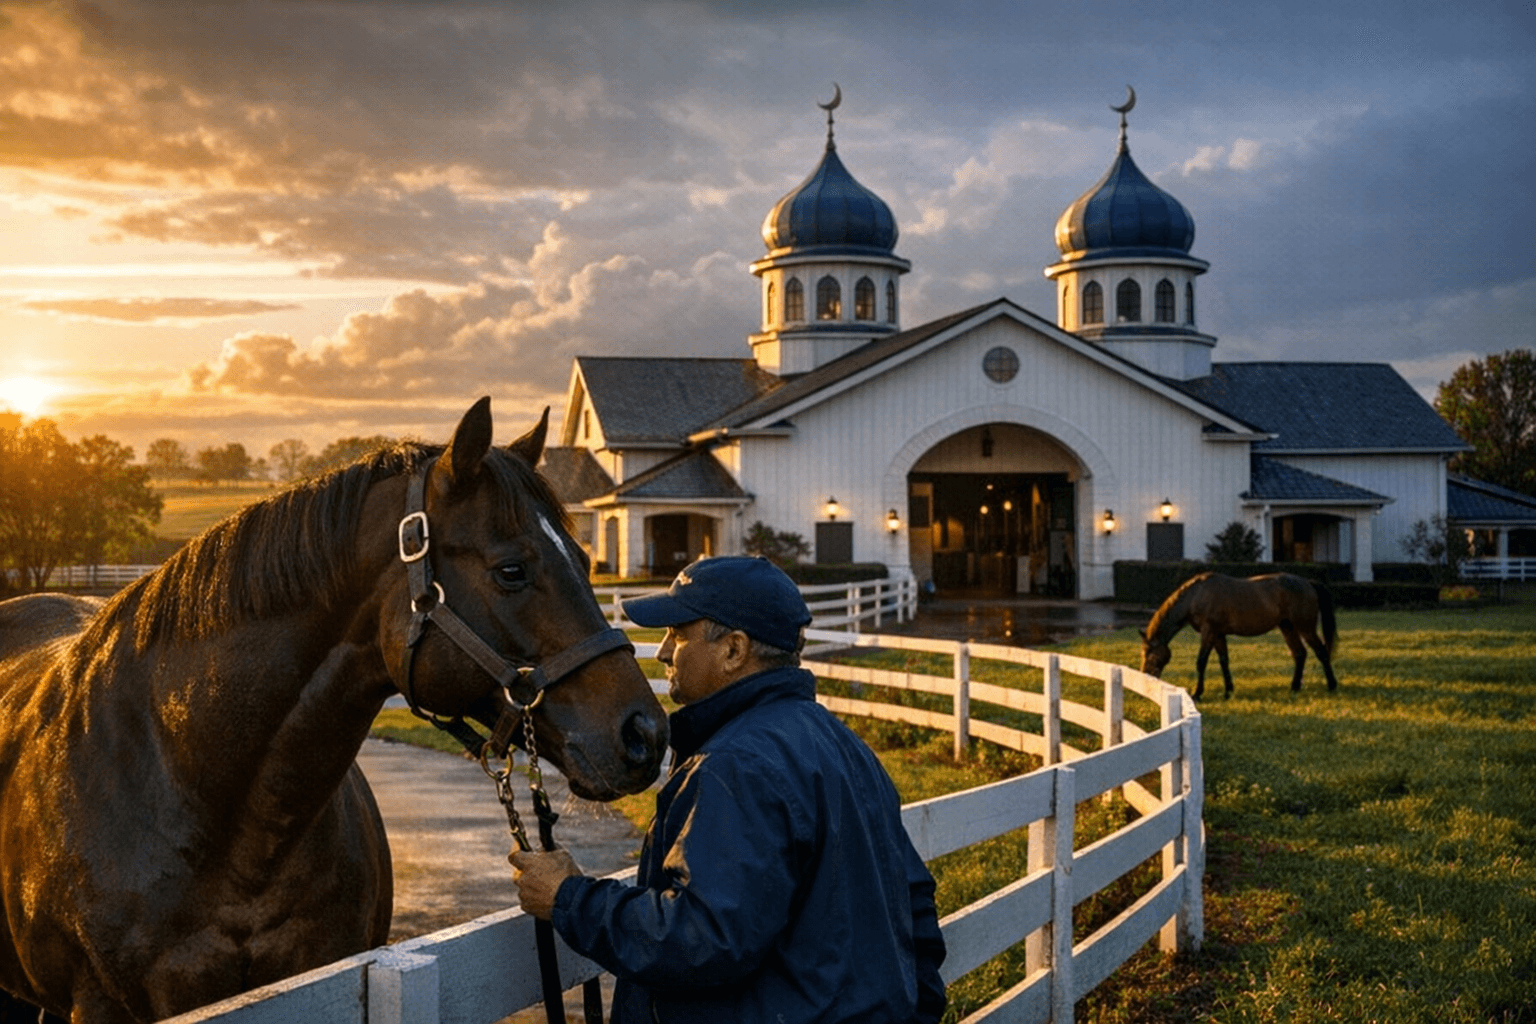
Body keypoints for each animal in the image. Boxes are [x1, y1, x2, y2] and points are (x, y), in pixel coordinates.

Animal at [1138, 572, 1339, 700]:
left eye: (1151, 655)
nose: (1144, 678)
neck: (1196, 596)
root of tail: (1307, 583)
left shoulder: (1209, 632)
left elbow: (1201, 661)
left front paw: (1197, 693)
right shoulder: (1218, 634)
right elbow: (1224, 661)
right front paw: (1228, 691)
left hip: (1305, 628)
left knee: (1321, 652)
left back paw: (1332, 686)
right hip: (1287, 627)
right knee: (1299, 654)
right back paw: (1295, 687)